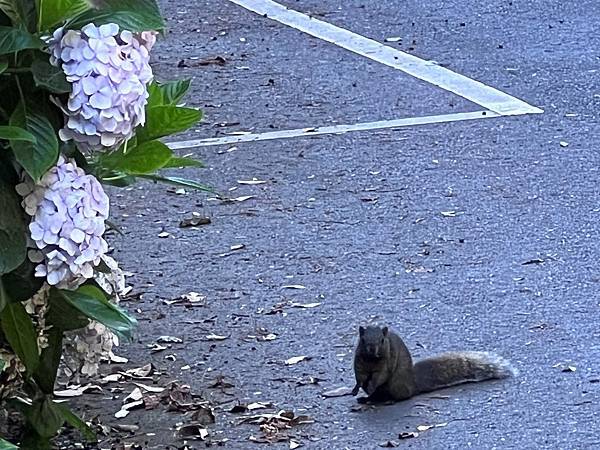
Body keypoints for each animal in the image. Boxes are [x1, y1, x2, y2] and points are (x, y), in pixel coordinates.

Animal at [352, 326, 516, 402]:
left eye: (382, 340)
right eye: (363, 340)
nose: (372, 349)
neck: (371, 360)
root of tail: (413, 384)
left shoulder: (386, 363)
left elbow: (380, 376)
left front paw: (372, 384)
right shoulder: (359, 363)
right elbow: (360, 376)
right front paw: (356, 389)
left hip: (397, 385)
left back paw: (388, 400)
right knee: (375, 397)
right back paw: (365, 399)